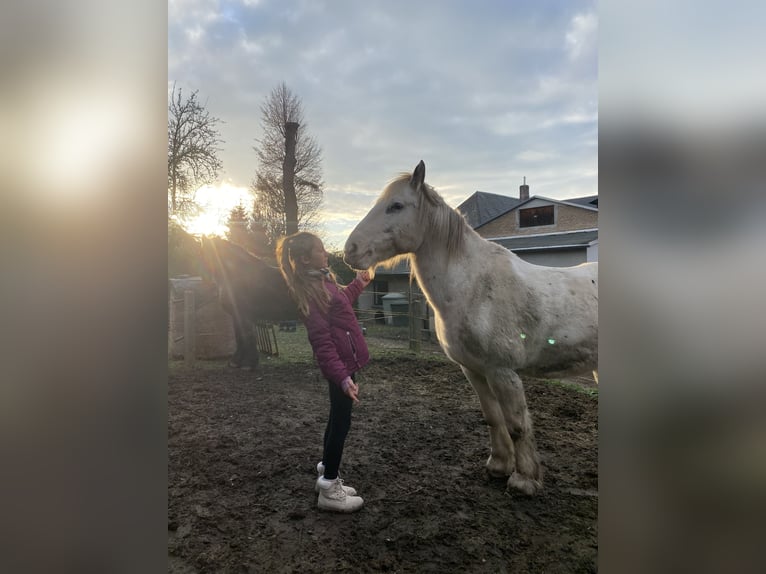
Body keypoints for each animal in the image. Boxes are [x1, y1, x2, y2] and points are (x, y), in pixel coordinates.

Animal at [199, 236, 299, 369]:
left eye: (206, 252)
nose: (206, 279)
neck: (239, 274)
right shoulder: (237, 316)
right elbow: (240, 337)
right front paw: (238, 361)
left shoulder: (243, 315)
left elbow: (246, 336)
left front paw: (247, 363)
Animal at [344, 161, 598, 495]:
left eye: (396, 206)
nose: (350, 249)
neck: (474, 285)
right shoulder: (475, 370)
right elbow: (493, 418)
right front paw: (499, 466)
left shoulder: (503, 372)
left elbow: (517, 424)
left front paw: (524, 480)